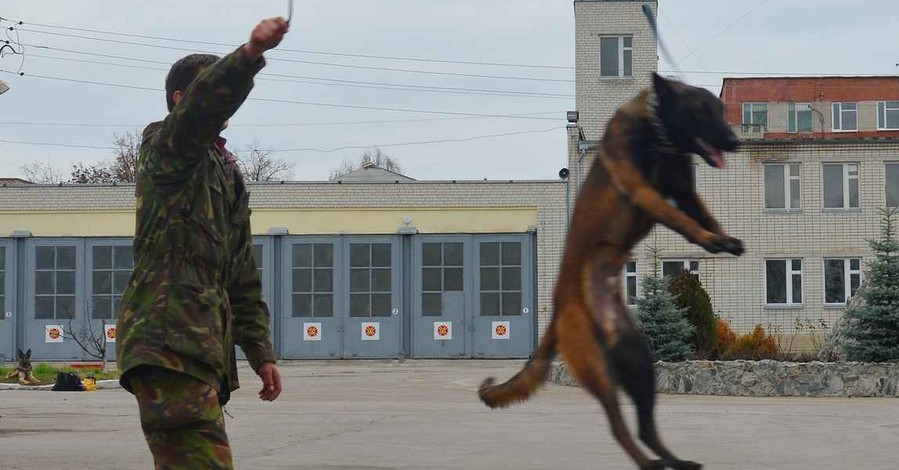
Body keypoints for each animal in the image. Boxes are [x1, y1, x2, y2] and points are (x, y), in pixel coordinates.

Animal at [478, 71, 744, 468]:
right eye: (701, 110)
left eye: (720, 110)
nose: (734, 141)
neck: (656, 130)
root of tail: (558, 314)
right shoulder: (643, 192)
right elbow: (681, 220)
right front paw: (710, 240)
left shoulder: (685, 191)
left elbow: (702, 215)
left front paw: (723, 238)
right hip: (599, 370)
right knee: (619, 429)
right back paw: (650, 462)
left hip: (639, 361)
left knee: (644, 429)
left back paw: (672, 461)